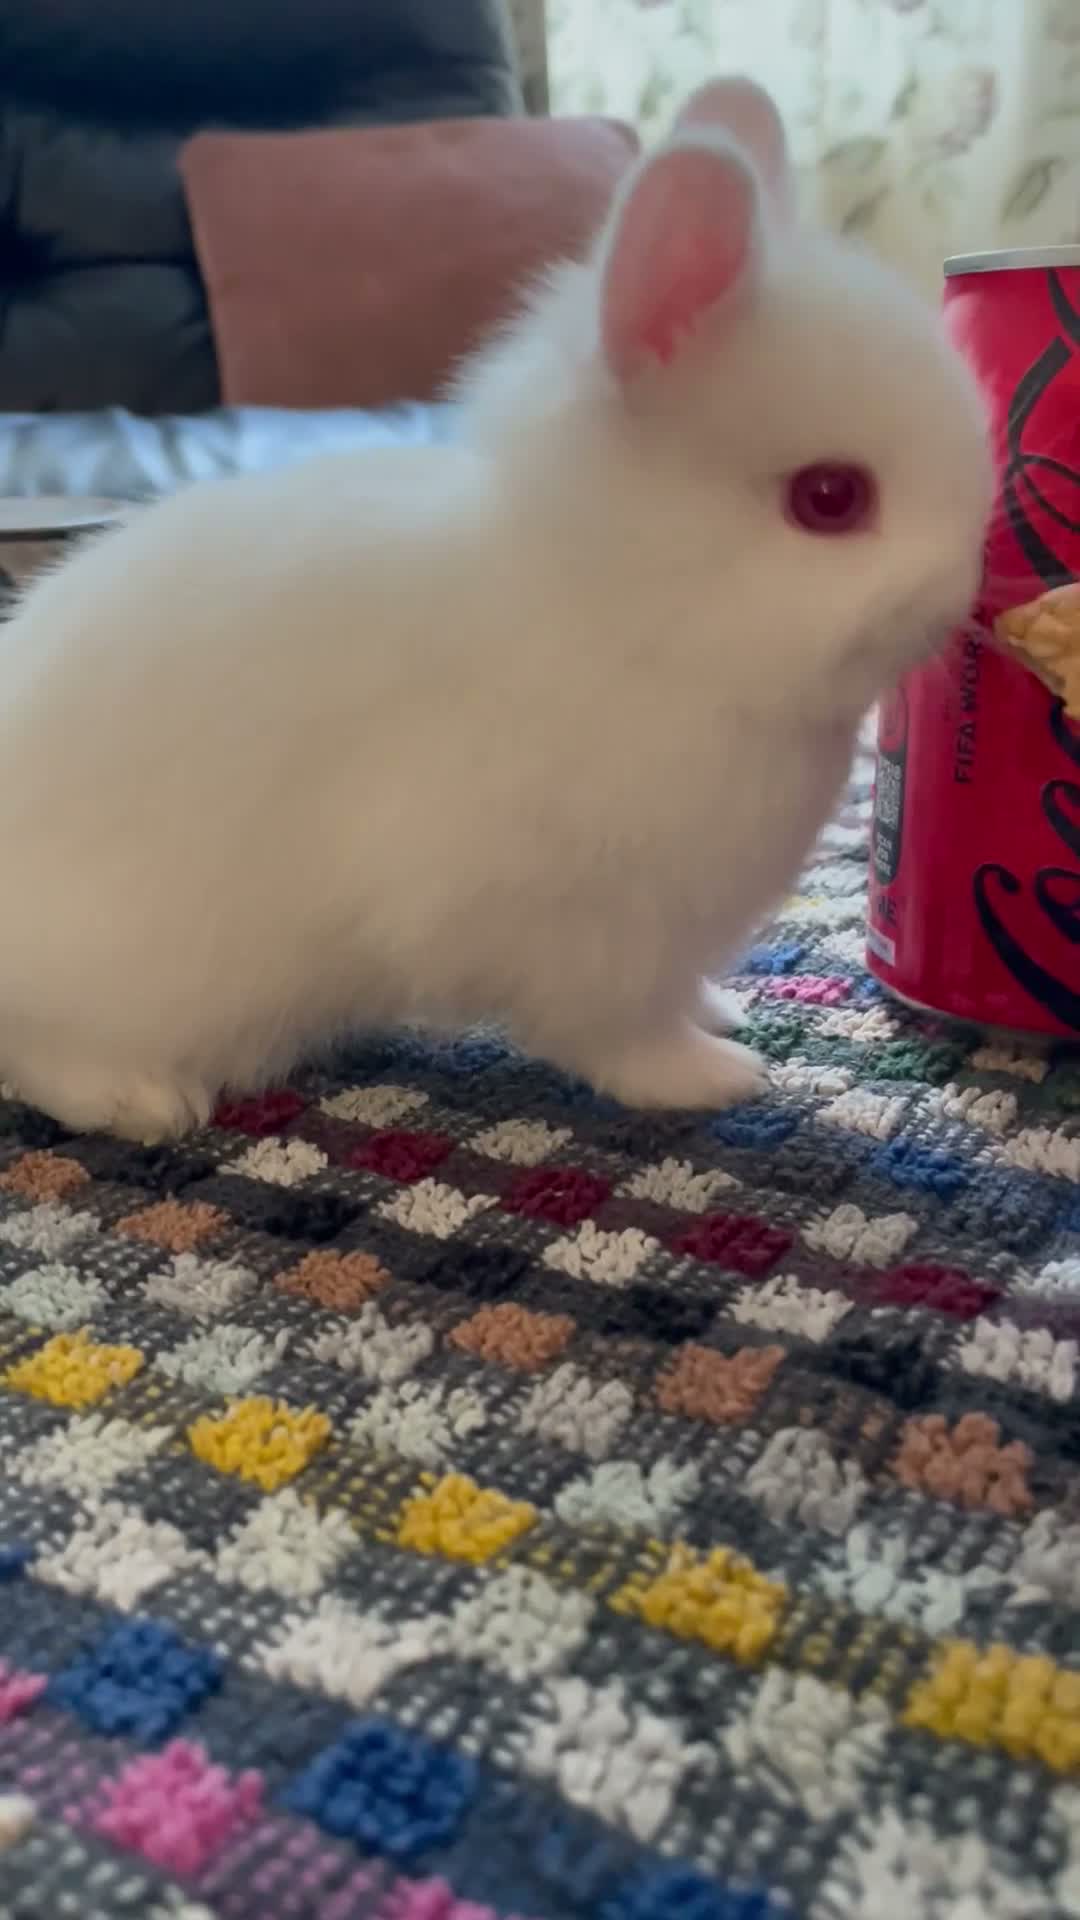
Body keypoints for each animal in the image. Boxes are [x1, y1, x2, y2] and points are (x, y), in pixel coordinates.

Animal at [0, 75, 992, 1143]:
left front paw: (721, 1013)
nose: (966, 588)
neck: (628, 620)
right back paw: (143, 1102)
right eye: (830, 498)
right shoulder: (576, 930)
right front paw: (713, 1076)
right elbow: (617, 1031)